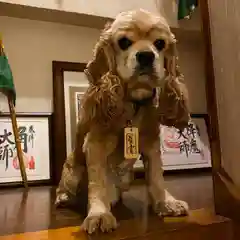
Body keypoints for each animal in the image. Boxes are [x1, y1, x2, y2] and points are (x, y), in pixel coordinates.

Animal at [55, 8, 190, 234]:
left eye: (160, 43)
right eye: (124, 42)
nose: (146, 55)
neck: (132, 105)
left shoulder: (151, 143)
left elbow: (156, 176)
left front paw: (166, 202)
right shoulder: (95, 144)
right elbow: (97, 182)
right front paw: (99, 214)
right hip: (72, 173)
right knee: (65, 188)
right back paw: (64, 198)